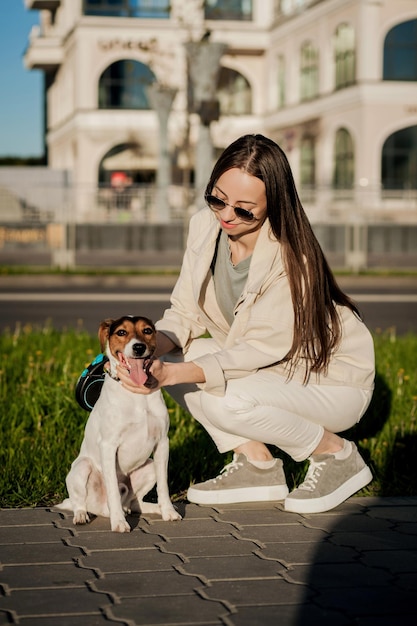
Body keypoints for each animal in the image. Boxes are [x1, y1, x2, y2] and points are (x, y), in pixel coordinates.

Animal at [56, 314, 180, 528]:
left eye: (147, 330)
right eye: (121, 332)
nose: (138, 347)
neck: (137, 394)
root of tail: (99, 508)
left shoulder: (163, 443)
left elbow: (163, 486)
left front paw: (168, 511)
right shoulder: (108, 445)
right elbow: (113, 489)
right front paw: (119, 523)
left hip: (149, 467)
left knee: (134, 502)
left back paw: (150, 508)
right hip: (82, 467)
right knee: (79, 501)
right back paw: (83, 515)